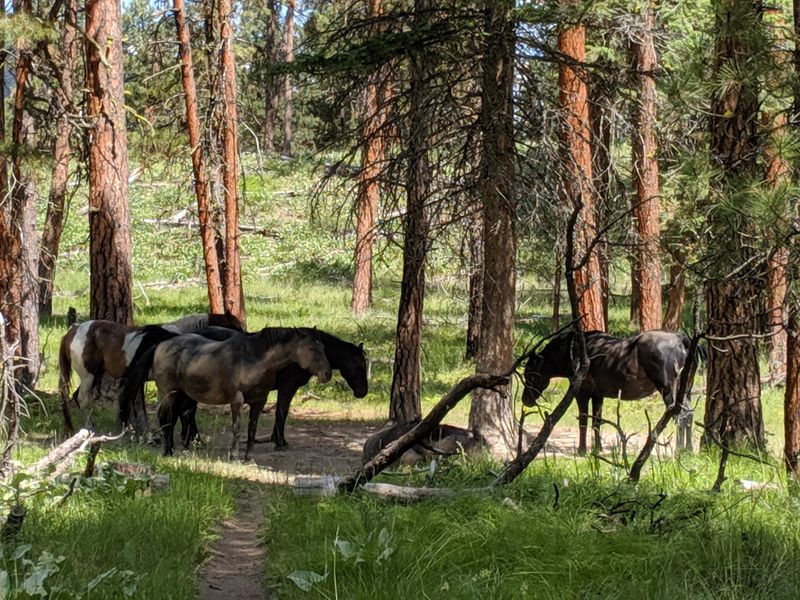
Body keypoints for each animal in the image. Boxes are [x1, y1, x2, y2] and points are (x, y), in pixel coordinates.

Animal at [58, 313, 242, 434]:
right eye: (231, 325)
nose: (243, 336)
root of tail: (71, 332)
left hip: (95, 375)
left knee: (77, 397)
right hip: (88, 375)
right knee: (83, 399)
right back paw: (89, 428)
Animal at [121, 327, 332, 459]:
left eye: (323, 347)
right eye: (311, 348)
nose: (327, 374)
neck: (254, 360)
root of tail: (160, 345)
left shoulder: (259, 401)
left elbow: (252, 429)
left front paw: (249, 458)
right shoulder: (236, 400)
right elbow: (237, 428)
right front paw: (235, 456)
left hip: (183, 395)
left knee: (173, 418)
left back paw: (174, 449)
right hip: (169, 392)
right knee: (164, 417)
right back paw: (167, 451)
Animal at [521, 330, 704, 454]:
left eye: (530, 374)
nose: (525, 400)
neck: (570, 351)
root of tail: (682, 340)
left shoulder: (581, 393)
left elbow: (583, 421)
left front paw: (582, 450)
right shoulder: (598, 395)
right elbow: (597, 422)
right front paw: (597, 448)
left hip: (669, 388)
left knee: (680, 416)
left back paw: (679, 449)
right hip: (686, 390)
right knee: (689, 414)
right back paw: (688, 448)